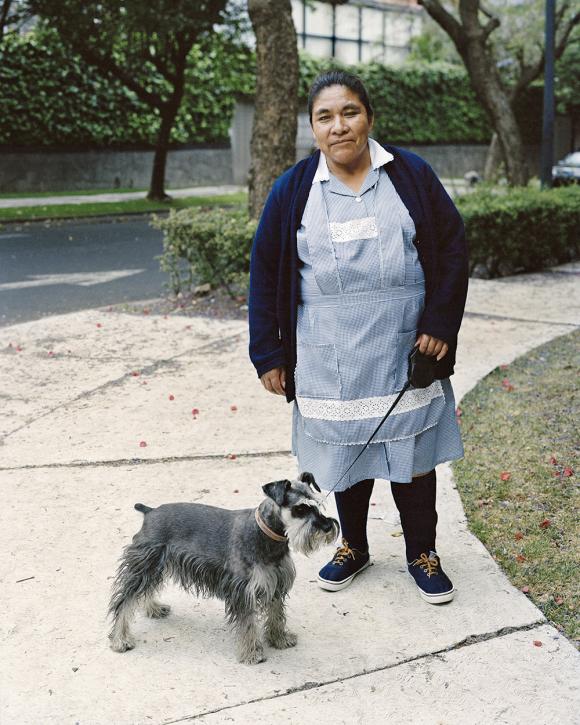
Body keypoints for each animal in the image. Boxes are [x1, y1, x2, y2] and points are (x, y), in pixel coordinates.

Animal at [107, 472, 340, 664]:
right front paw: (252, 653)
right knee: (125, 601)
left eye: (318, 504)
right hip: (145, 563)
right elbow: (248, 624)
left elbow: (276, 615)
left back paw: (153, 609)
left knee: (145, 590)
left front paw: (279, 639)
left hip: (154, 566)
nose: (328, 526)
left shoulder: (275, 584)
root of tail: (150, 512)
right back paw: (120, 640)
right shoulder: (243, 591)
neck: (266, 536)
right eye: (300, 508)